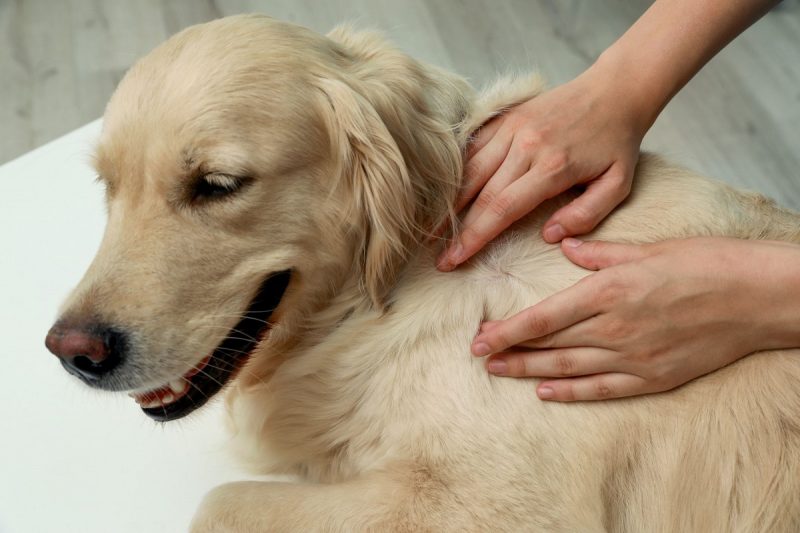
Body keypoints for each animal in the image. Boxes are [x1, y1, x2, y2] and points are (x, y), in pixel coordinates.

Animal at [45, 14, 800, 528]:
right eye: (107, 185)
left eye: (218, 185)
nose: (72, 352)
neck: (397, 280)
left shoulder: (488, 503)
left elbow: (217, 503)